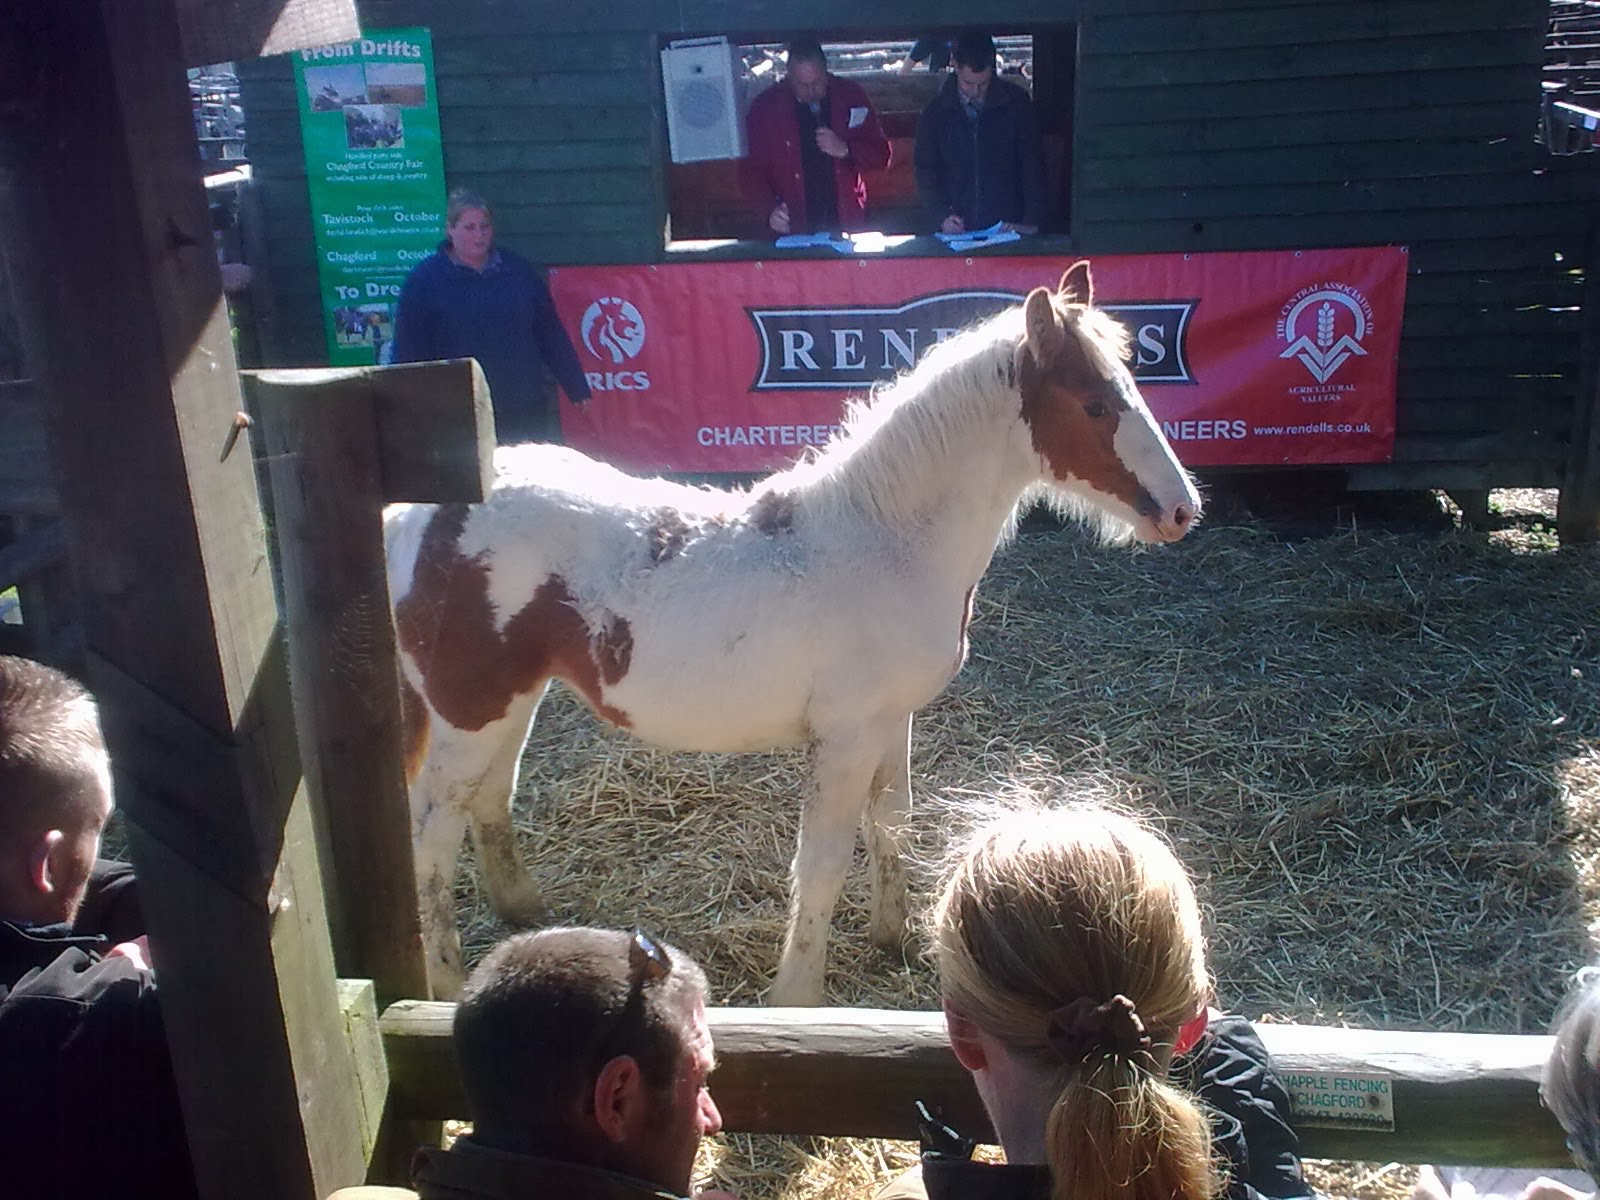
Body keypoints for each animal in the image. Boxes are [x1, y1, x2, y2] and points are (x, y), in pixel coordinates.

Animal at [384, 262, 1201, 1004]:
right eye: (1095, 404)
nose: (1182, 510)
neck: (885, 540)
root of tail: (418, 511)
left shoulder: (893, 720)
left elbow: (892, 823)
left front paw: (894, 938)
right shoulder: (845, 736)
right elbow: (824, 864)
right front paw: (798, 998)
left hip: (511, 701)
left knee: (490, 798)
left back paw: (523, 913)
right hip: (468, 711)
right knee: (429, 838)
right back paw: (444, 981)